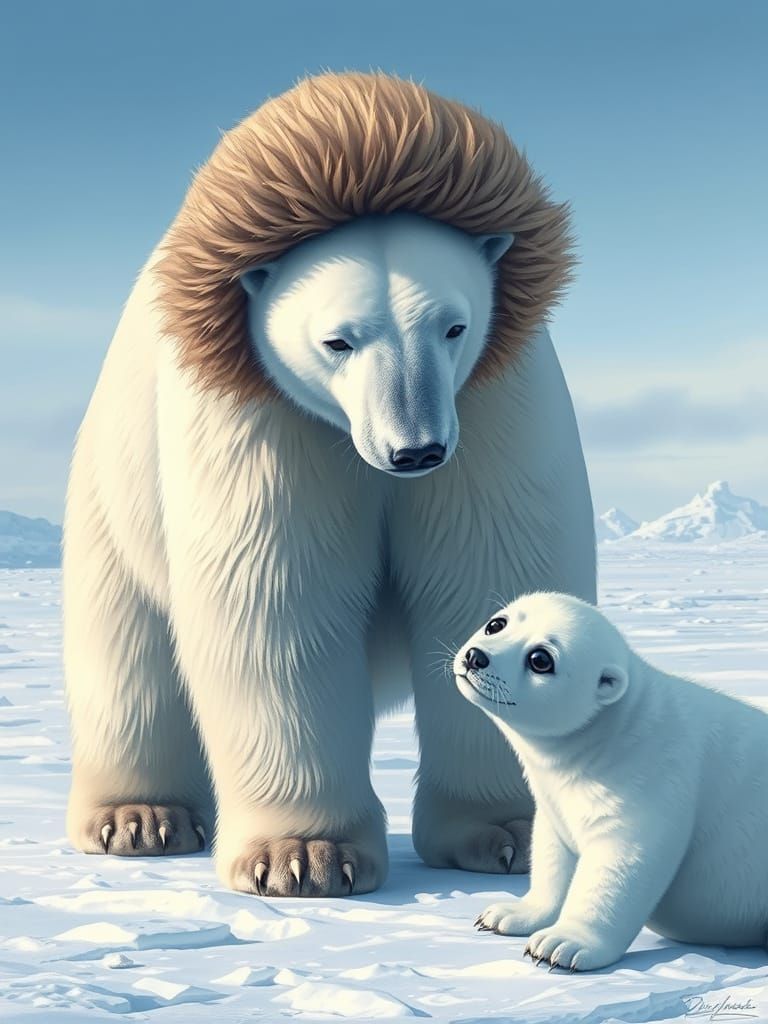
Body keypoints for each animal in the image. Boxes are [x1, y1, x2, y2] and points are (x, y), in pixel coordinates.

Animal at [63, 70, 596, 897]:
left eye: (454, 326)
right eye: (337, 341)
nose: (416, 451)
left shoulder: (494, 405)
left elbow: (488, 571)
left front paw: (510, 831)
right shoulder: (265, 423)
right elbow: (280, 600)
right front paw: (303, 856)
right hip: (112, 506)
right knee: (129, 656)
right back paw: (140, 818)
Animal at [457, 592, 768, 970]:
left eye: (541, 659)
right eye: (496, 624)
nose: (476, 656)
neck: (611, 734)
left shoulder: (650, 778)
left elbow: (620, 861)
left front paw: (559, 945)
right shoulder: (554, 799)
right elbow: (551, 854)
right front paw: (505, 914)